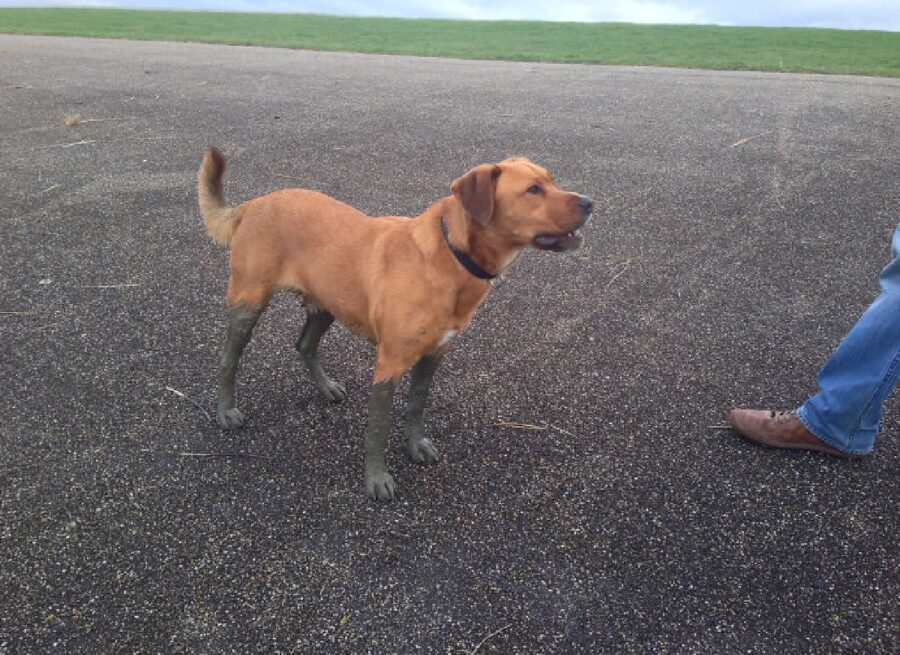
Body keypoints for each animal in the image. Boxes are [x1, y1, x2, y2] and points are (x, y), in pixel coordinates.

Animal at [197, 150, 592, 502]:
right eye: (533, 190)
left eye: (552, 180)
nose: (590, 203)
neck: (450, 256)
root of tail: (252, 204)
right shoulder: (389, 364)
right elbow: (379, 427)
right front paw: (376, 479)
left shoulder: (433, 355)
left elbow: (416, 405)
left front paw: (415, 446)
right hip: (248, 303)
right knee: (228, 359)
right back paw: (225, 411)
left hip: (328, 302)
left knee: (304, 345)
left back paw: (326, 388)